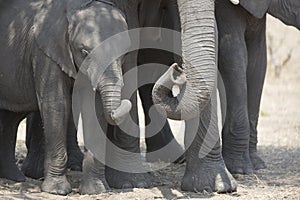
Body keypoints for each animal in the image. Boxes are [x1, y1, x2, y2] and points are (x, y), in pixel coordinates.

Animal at [0, 0, 132, 195]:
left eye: (124, 55)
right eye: (84, 52)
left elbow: (95, 110)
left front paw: (96, 191)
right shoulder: (45, 53)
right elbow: (57, 105)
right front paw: (57, 191)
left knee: (11, 117)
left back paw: (14, 177)